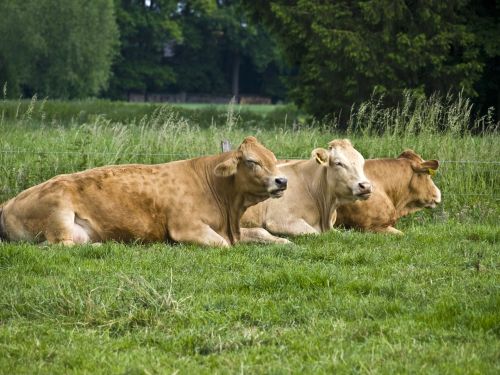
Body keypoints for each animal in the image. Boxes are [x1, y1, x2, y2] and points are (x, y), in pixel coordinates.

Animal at [0, 137, 288, 248]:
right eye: (251, 161)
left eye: (273, 159)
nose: (282, 180)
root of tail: (8, 202)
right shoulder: (187, 228)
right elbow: (223, 244)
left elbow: (262, 233)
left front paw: (285, 243)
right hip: (59, 214)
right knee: (56, 245)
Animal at [240, 139, 374, 244]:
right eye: (338, 163)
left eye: (362, 162)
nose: (366, 186)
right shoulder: (279, 220)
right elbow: (314, 233)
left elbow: (347, 234)